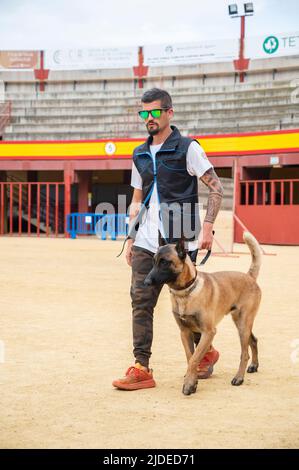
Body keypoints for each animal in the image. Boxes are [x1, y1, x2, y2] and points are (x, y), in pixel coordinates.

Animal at [145, 233, 262, 394]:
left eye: (165, 262)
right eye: (154, 261)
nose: (146, 282)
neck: (185, 293)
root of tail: (249, 276)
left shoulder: (208, 332)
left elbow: (194, 358)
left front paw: (189, 384)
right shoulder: (185, 332)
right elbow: (190, 357)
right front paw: (192, 381)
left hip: (243, 325)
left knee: (244, 353)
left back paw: (239, 377)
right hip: (241, 323)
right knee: (254, 340)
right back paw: (254, 366)